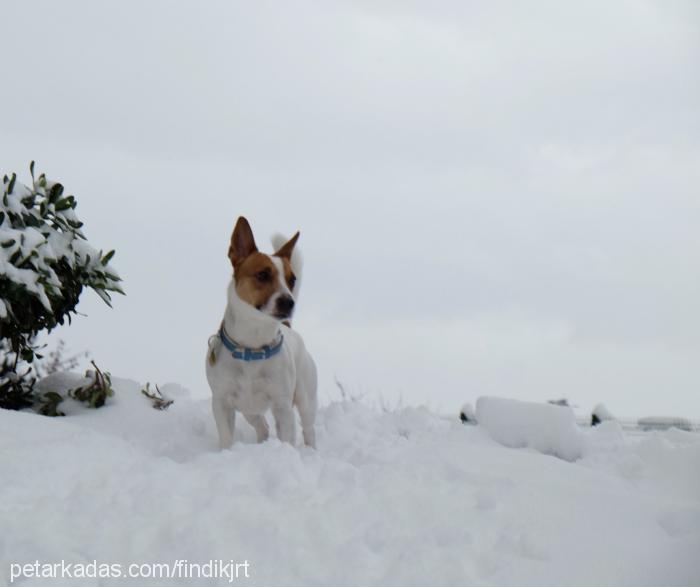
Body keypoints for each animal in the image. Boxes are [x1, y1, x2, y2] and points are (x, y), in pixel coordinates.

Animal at [205, 216, 318, 450]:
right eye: (263, 274)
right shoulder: (221, 402)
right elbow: (226, 437)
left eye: (292, 279)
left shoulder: (282, 406)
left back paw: (311, 451)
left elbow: (287, 436)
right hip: (249, 409)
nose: (289, 302)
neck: (252, 345)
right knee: (262, 426)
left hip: (306, 399)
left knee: (309, 429)